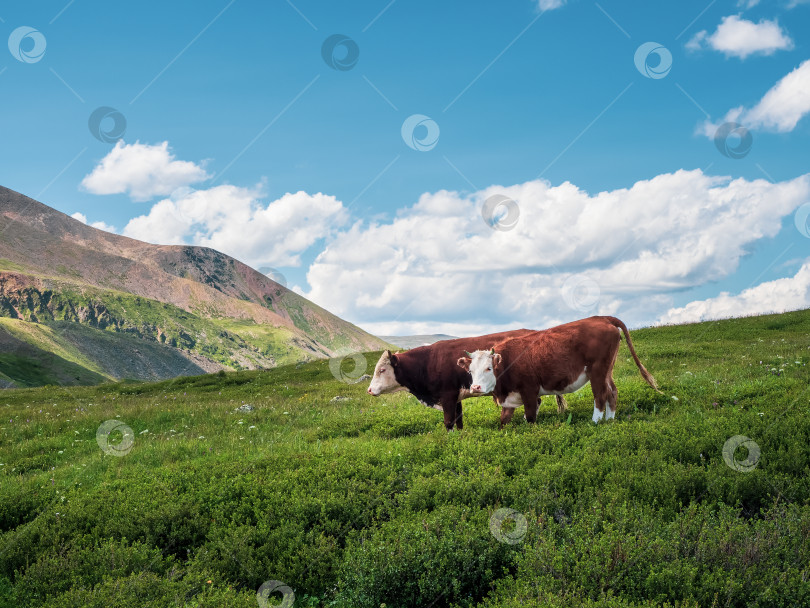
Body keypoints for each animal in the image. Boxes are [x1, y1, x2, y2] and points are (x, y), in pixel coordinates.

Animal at [366, 330, 560, 430]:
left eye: (382, 369)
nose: (369, 390)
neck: (428, 362)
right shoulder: (456, 398)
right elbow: (458, 420)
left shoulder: (448, 396)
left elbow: (448, 421)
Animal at [454, 318, 656, 428]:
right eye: (471, 371)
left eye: (488, 368)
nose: (475, 387)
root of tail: (601, 318)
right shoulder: (510, 397)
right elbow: (504, 420)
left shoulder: (530, 391)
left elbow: (530, 417)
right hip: (607, 371)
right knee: (612, 392)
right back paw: (609, 420)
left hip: (597, 371)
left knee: (600, 395)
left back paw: (595, 422)